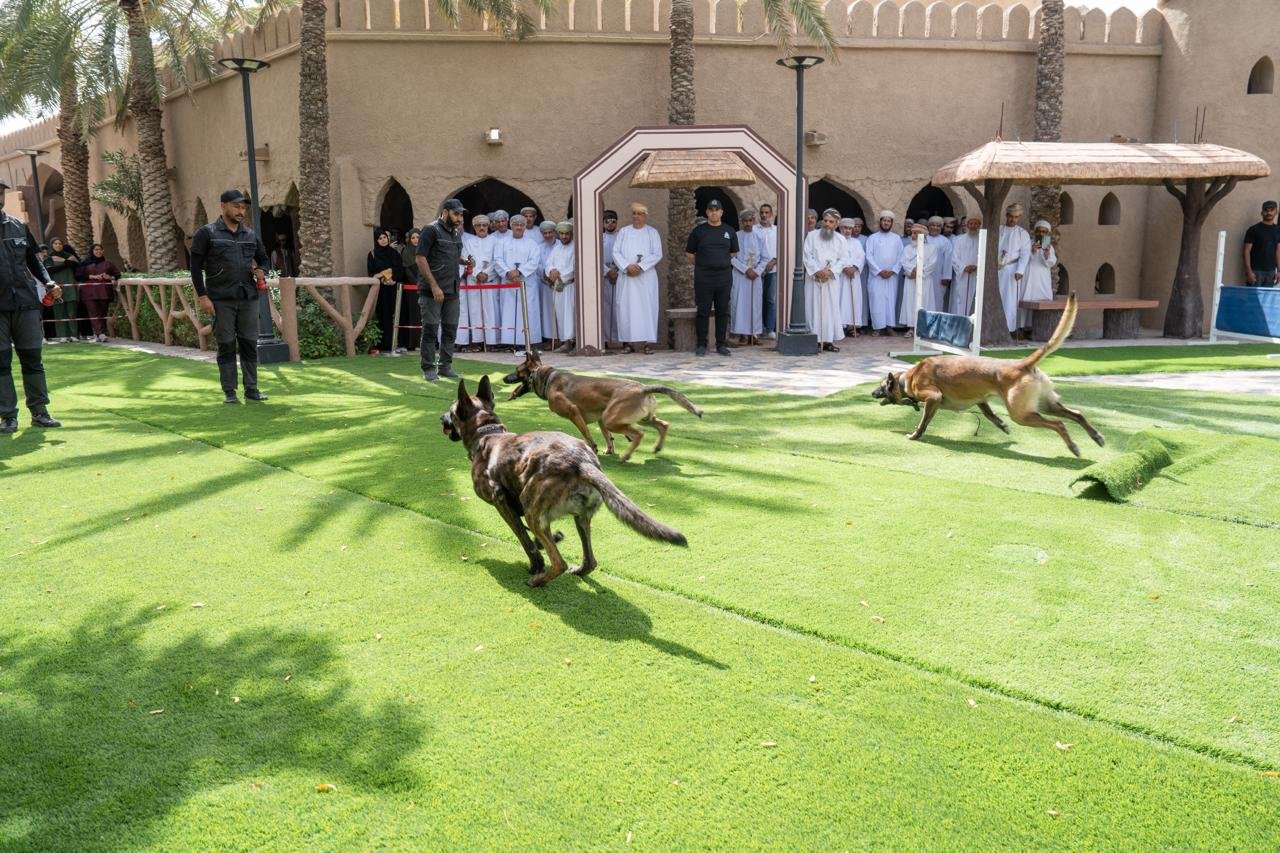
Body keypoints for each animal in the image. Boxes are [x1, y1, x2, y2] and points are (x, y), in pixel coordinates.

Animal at [441, 376, 688, 587]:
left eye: (452, 410)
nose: (440, 418)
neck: (486, 433)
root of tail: (582, 462)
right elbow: (535, 538)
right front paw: (551, 541)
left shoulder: (502, 503)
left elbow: (524, 538)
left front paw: (536, 564)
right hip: (581, 517)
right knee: (590, 562)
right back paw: (577, 569)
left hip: (533, 510)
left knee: (558, 562)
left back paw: (538, 580)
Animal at [503, 351, 703, 462]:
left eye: (516, 371)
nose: (504, 378)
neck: (547, 379)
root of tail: (643, 388)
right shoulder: (600, 419)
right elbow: (608, 437)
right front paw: (609, 449)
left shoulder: (574, 413)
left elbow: (586, 434)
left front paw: (594, 448)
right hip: (641, 418)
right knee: (663, 425)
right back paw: (657, 447)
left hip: (613, 419)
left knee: (638, 434)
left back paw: (626, 456)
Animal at [871, 293, 1104, 457]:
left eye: (881, 386)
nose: (872, 393)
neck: (908, 378)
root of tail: (1023, 365)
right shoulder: (980, 399)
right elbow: (990, 415)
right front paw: (1001, 426)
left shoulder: (933, 398)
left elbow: (924, 422)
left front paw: (915, 435)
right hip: (1046, 403)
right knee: (1077, 414)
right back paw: (1096, 436)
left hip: (1021, 413)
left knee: (1058, 424)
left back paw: (1073, 446)